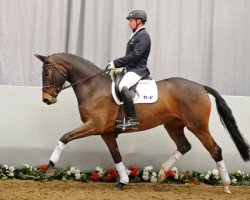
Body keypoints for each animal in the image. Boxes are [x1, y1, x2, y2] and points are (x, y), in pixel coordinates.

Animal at [35, 52, 250, 192]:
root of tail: (200, 86)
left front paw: (50, 168)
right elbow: (116, 156)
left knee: (215, 150)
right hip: (173, 125)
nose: (46, 99)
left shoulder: (94, 126)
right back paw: (162, 173)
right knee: (184, 145)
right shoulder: (106, 132)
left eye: (46, 73)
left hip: (197, 126)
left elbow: (64, 137)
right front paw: (122, 181)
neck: (93, 86)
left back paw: (226, 185)